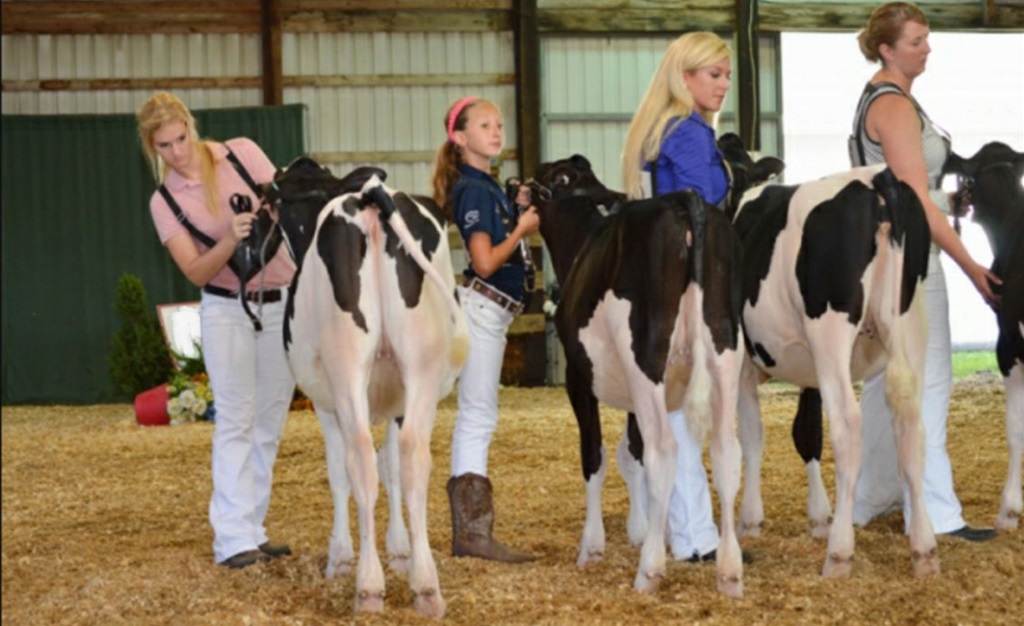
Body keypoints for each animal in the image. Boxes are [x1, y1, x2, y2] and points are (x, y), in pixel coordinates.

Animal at [265, 157, 469, 618]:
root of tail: (371, 197)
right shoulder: (399, 400)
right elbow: (392, 466)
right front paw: (401, 550)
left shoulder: (324, 402)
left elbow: (339, 472)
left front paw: (341, 556)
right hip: (420, 365)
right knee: (413, 455)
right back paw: (426, 586)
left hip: (345, 369)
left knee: (359, 456)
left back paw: (368, 585)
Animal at [530, 156, 748, 598]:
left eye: (550, 175)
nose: (518, 184)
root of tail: (684, 202)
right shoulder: (635, 393)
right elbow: (631, 453)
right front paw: (642, 529)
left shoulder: (580, 377)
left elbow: (595, 455)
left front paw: (593, 546)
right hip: (724, 348)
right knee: (726, 451)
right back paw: (730, 573)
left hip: (645, 355)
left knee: (664, 450)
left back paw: (649, 571)